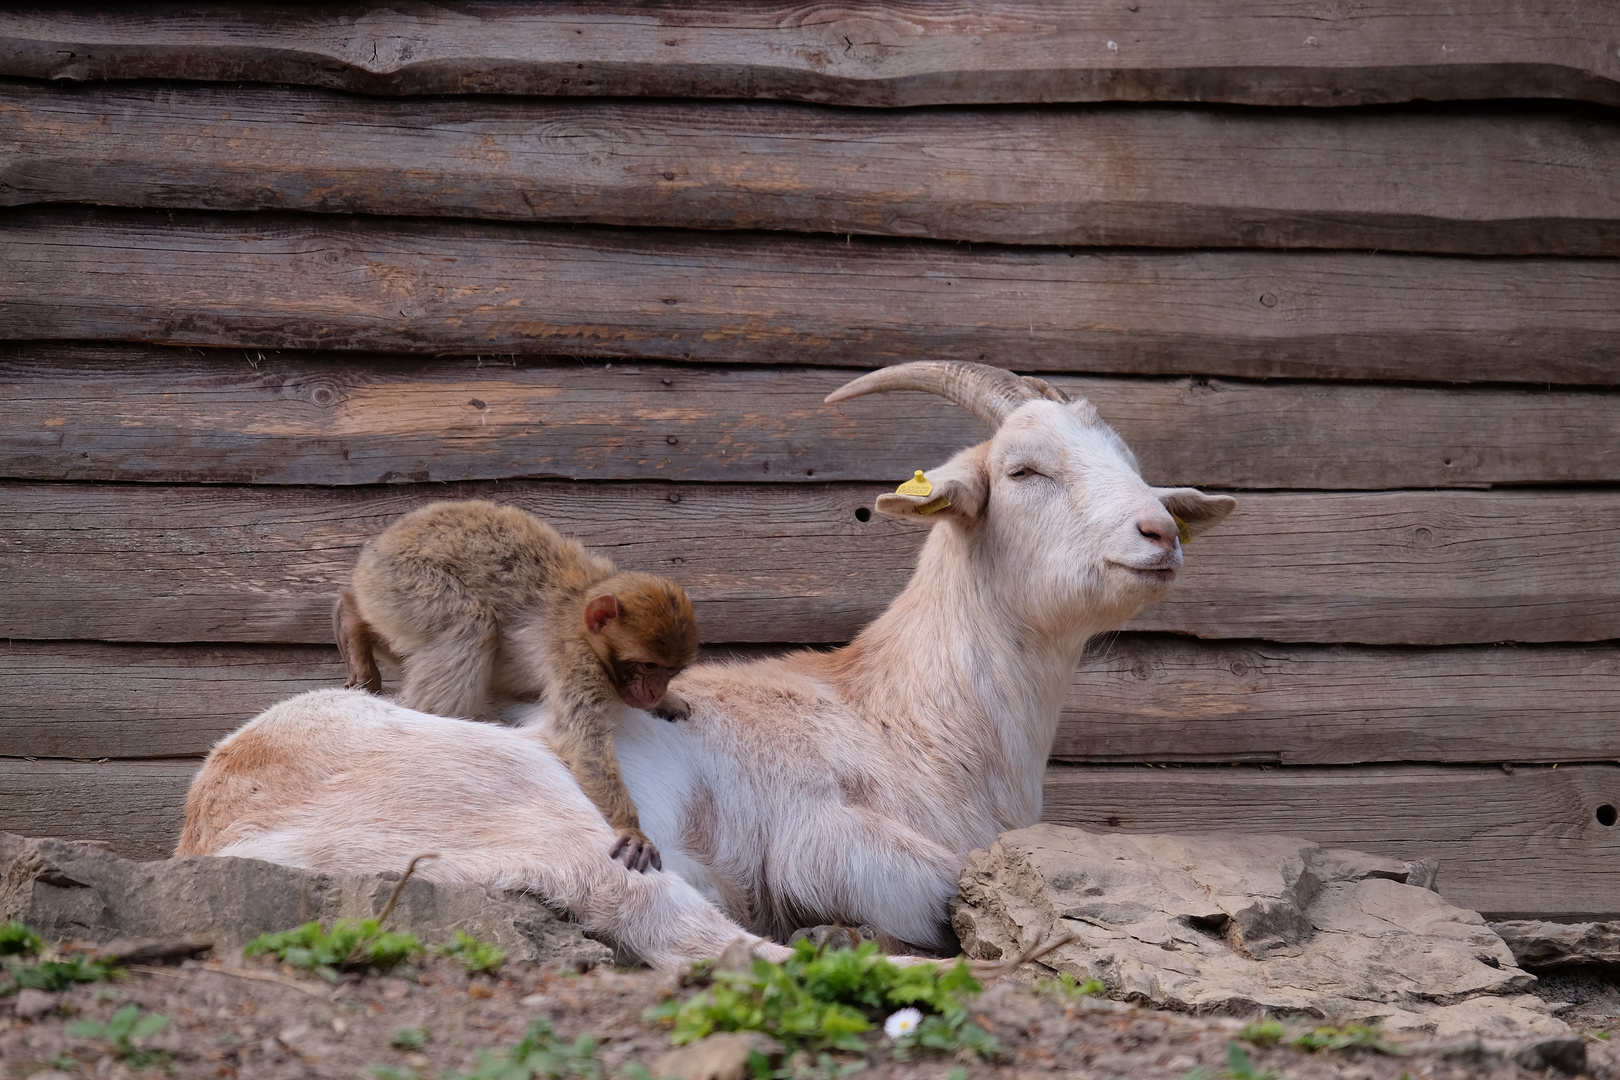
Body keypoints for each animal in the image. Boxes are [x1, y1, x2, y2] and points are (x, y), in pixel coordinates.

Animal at [332, 501, 699, 874]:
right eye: (648, 666)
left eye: (669, 671)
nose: (654, 691)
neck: (581, 608)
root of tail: (377, 545)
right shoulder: (576, 657)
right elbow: (579, 739)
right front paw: (630, 827)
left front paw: (668, 701)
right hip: (402, 580)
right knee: (469, 625)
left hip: (386, 596)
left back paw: (351, 618)